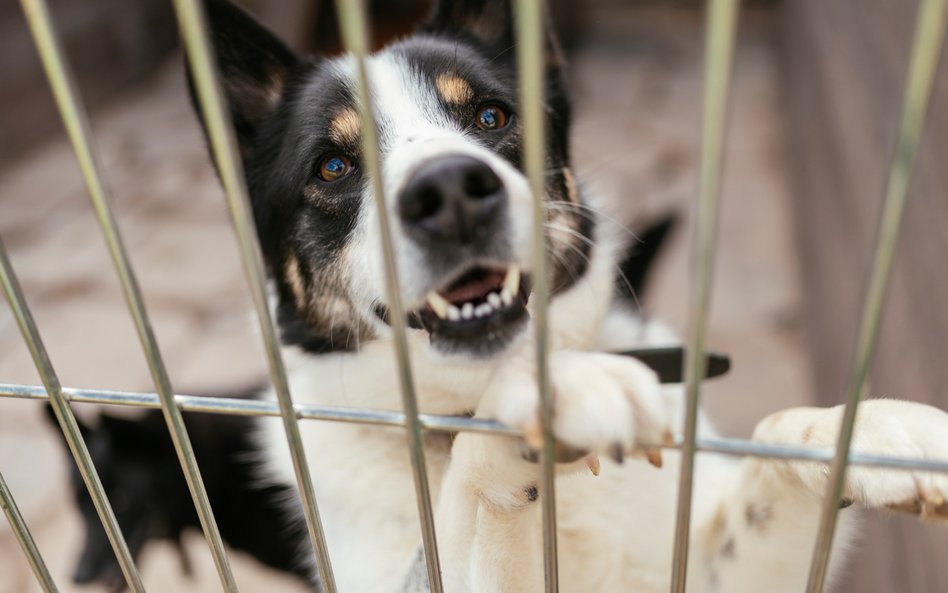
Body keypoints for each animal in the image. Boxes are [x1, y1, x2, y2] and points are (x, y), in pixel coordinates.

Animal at [65, 0, 948, 588]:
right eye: (333, 166)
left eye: (490, 116)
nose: (451, 192)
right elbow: (474, 479)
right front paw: (551, 391)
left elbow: (773, 450)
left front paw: (868, 430)